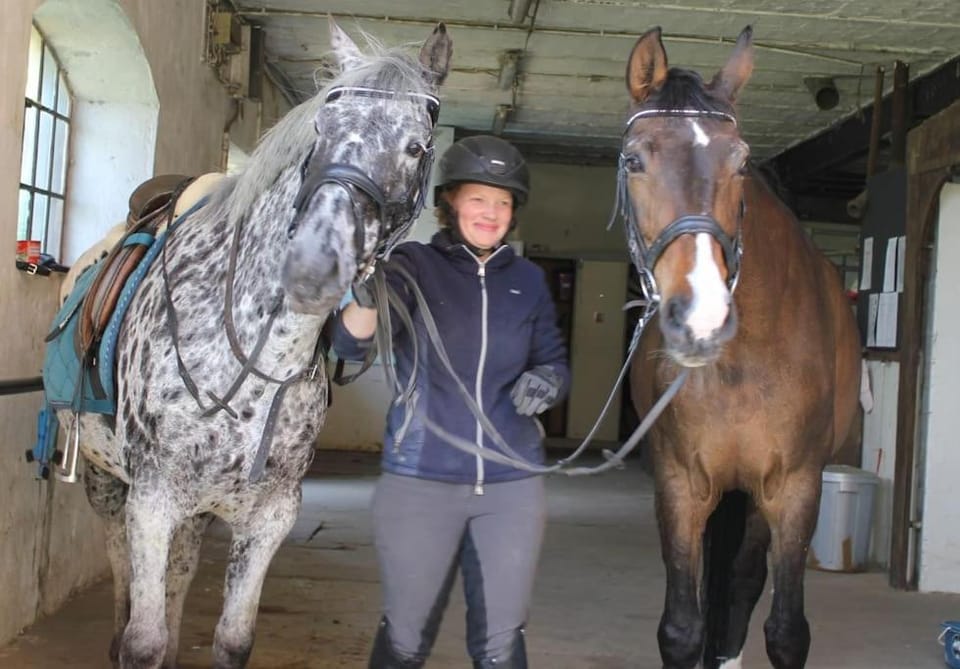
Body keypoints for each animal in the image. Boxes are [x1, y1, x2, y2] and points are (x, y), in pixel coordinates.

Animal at [54, 19, 451, 668]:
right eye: (320, 129)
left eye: (416, 147)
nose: (313, 266)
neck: (247, 360)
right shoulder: (151, 499)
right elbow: (142, 643)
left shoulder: (270, 515)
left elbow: (233, 639)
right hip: (105, 479)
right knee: (120, 570)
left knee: (182, 571)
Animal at [616, 27, 861, 668]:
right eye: (634, 159)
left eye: (742, 161)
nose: (700, 319)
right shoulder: (680, 484)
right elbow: (682, 628)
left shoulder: (794, 488)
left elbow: (785, 630)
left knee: (742, 588)